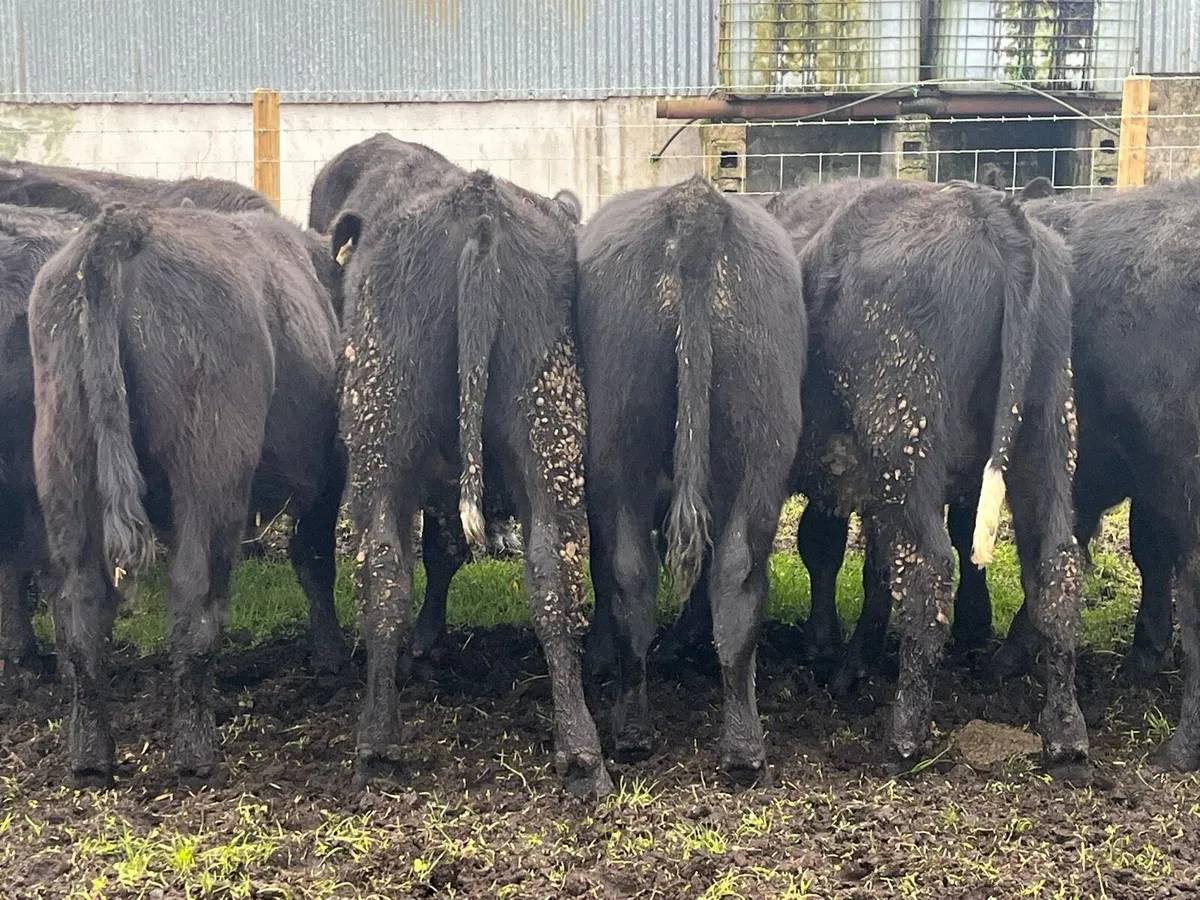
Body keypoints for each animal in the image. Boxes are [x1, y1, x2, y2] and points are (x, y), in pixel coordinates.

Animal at [28, 202, 348, 785]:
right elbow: (314, 558)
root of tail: (123, 226)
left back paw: (90, 757)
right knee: (195, 598)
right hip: (212, 473)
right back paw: (196, 753)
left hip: (65, 468)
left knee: (80, 609)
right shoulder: (329, 469)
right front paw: (331, 656)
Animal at [329, 142, 611, 796]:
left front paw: (426, 645)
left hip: (385, 445)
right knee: (551, 574)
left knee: (382, 569)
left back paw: (377, 743)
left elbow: (441, 551)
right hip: (545, 435)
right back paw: (581, 754)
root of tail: (478, 206)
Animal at [572, 176, 806, 780]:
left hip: (617, 455)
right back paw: (744, 748)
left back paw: (631, 730)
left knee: (629, 576)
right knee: (736, 579)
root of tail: (694, 203)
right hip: (761, 450)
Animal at [763, 177, 1086, 771]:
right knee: (1055, 567)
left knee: (928, 572)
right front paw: (843, 657)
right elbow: (851, 559)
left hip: (904, 444)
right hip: (1047, 435)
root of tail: (986, 207)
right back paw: (1066, 732)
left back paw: (904, 734)